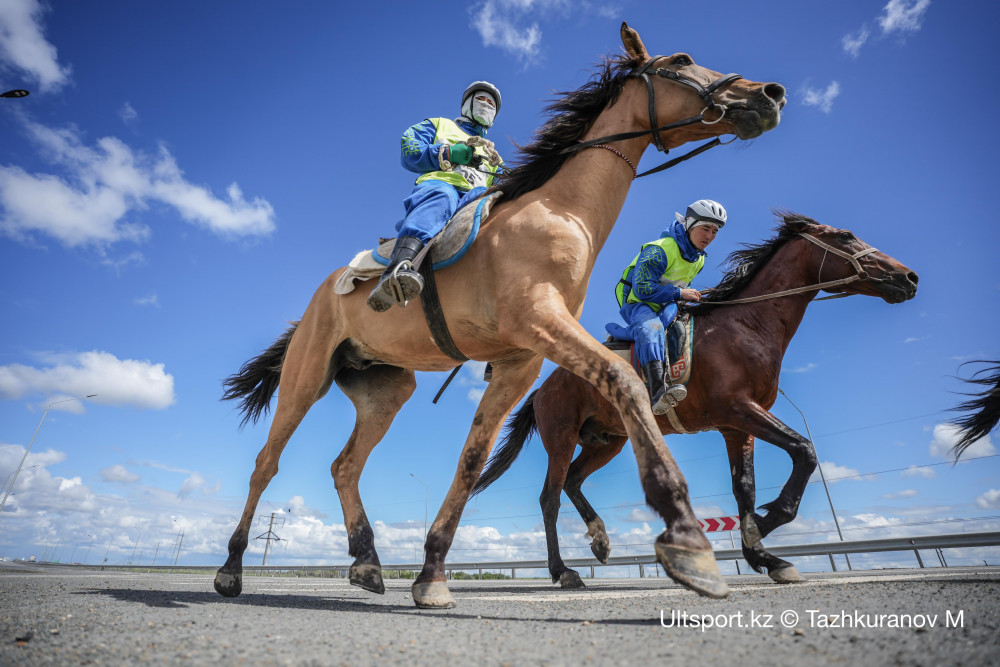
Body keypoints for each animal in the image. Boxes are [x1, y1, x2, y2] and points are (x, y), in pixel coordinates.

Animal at [217, 23, 788, 608]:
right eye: (681, 59)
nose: (770, 94)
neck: (561, 213)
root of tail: (322, 295)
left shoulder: (520, 363)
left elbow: (473, 458)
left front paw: (432, 574)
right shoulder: (540, 323)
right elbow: (624, 379)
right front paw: (686, 538)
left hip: (385, 391)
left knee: (345, 466)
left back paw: (368, 562)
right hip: (306, 378)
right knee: (266, 464)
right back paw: (232, 569)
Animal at [472, 215, 916, 588]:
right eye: (846, 235)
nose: (908, 276)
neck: (747, 325)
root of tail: (544, 387)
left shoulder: (736, 427)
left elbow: (745, 488)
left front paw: (764, 556)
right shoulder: (740, 409)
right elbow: (804, 451)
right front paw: (764, 525)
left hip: (608, 441)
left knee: (574, 482)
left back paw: (599, 540)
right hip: (562, 437)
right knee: (550, 497)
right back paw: (562, 571)